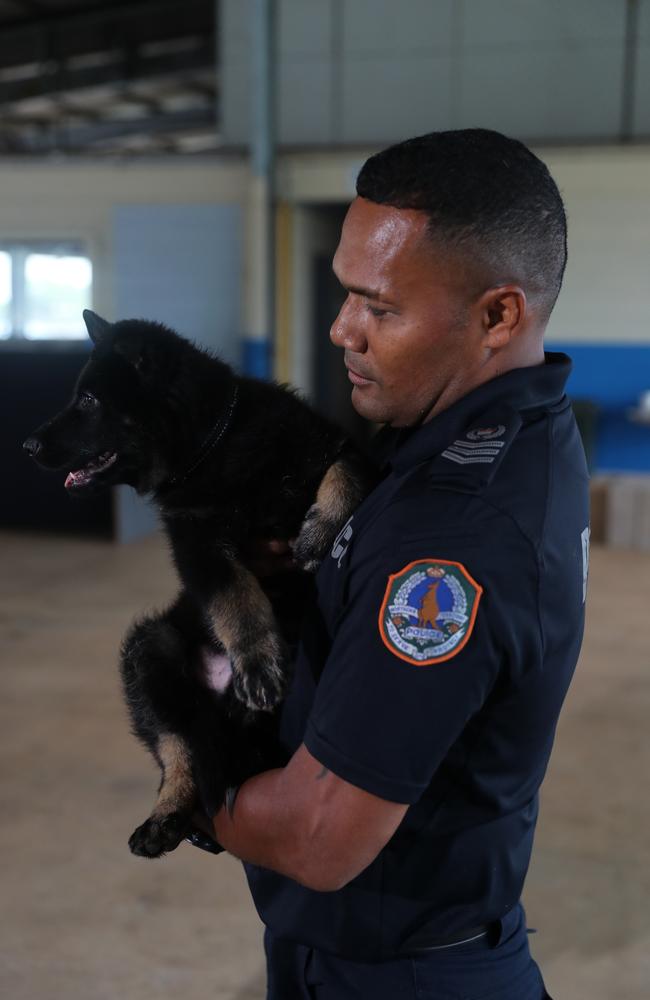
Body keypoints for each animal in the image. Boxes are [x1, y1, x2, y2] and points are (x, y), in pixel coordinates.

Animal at [24, 312, 370, 860]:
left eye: (89, 401)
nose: (28, 446)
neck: (216, 447)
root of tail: (221, 701)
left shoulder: (333, 446)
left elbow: (344, 473)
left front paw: (320, 530)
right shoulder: (198, 545)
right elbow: (235, 597)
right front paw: (257, 661)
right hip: (150, 649)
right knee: (179, 745)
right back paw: (167, 812)